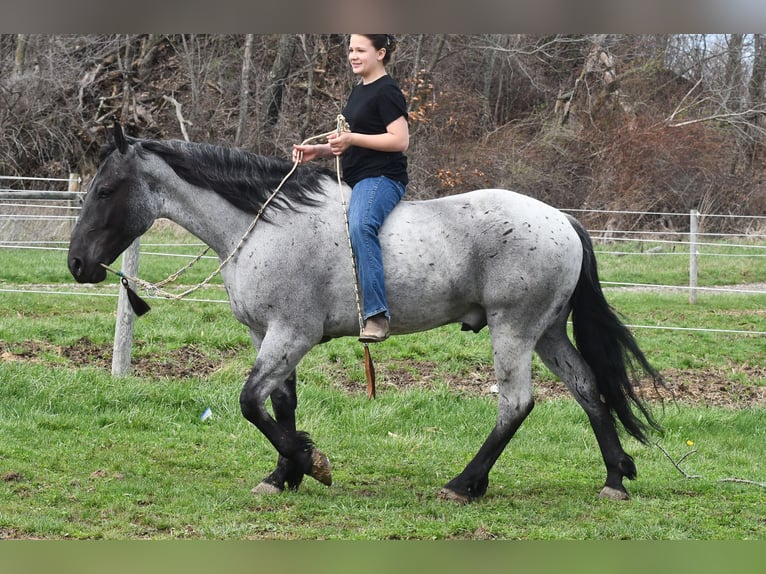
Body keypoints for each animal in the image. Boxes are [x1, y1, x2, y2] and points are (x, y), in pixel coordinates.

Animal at [68, 123, 663, 503]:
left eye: (107, 189)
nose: (76, 264)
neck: (265, 225)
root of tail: (563, 220)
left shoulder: (291, 334)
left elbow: (250, 402)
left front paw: (309, 462)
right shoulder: (271, 336)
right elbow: (279, 404)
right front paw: (284, 475)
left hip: (513, 330)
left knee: (514, 404)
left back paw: (463, 484)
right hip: (546, 332)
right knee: (589, 388)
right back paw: (614, 478)